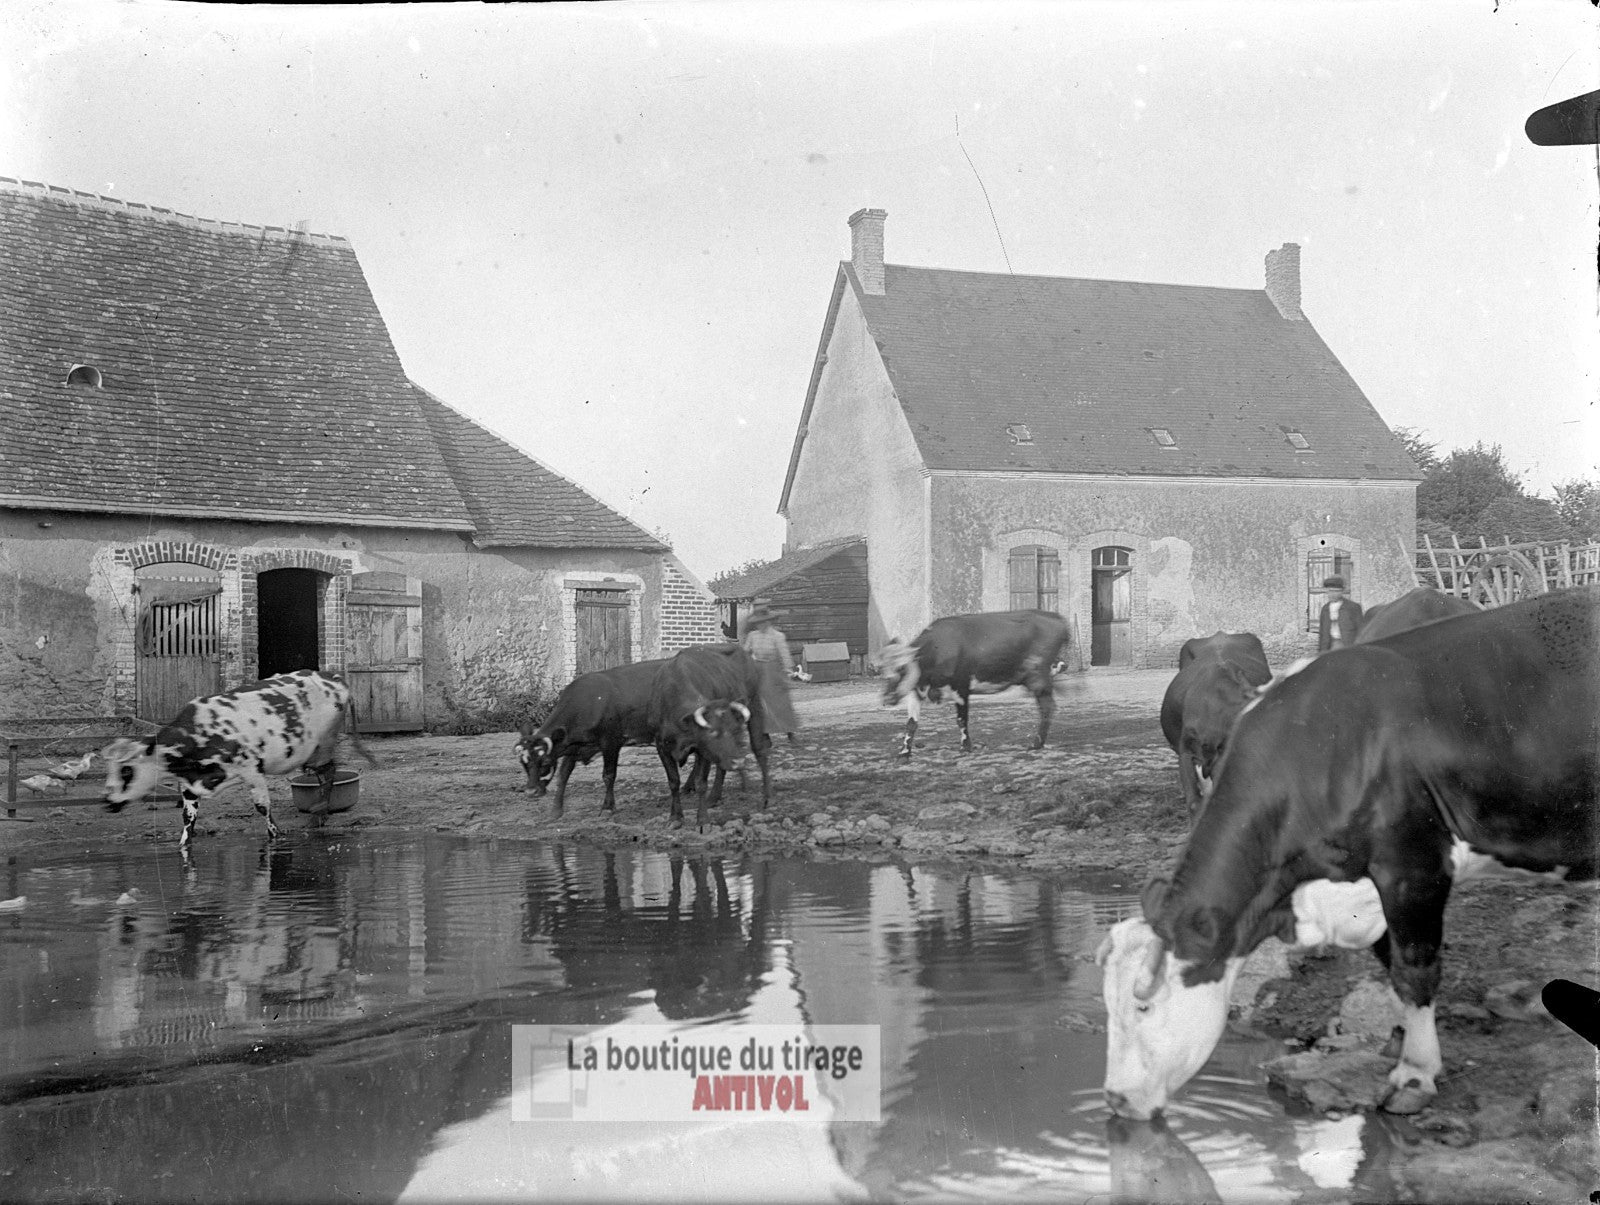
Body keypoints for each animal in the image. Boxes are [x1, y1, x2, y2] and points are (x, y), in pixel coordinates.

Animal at [100, 670, 377, 850]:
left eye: (126, 770)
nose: (107, 801)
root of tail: (332, 678)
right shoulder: (189, 783)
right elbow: (188, 819)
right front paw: (184, 845)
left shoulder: (252, 770)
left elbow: (263, 807)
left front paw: (275, 836)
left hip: (322, 746)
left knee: (328, 773)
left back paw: (319, 814)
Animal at [515, 659, 670, 815]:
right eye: (523, 762)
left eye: (546, 762)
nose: (531, 792)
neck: (589, 704)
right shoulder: (574, 745)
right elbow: (563, 774)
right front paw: (556, 810)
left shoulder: (610, 742)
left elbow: (608, 775)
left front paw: (607, 807)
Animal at [648, 643, 772, 830]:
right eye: (712, 732)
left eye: (734, 729)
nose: (738, 762)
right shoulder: (662, 746)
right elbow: (673, 782)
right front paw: (675, 817)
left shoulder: (703, 751)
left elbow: (701, 783)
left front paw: (703, 820)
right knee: (722, 765)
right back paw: (714, 797)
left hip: (756, 707)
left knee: (759, 750)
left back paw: (766, 798)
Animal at [877, 610, 1071, 759]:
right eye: (881, 669)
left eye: (902, 668)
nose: (888, 698)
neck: (936, 651)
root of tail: (1055, 617)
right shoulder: (916, 690)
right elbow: (911, 723)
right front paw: (904, 752)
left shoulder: (961, 687)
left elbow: (961, 719)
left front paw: (966, 747)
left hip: (1039, 679)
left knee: (1046, 708)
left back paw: (1036, 743)